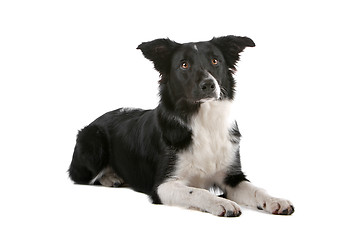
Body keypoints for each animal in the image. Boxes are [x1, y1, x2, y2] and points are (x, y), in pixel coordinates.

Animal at [68, 36, 296, 218]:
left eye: (215, 61)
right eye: (184, 65)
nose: (209, 85)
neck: (203, 122)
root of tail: (96, 119)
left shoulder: (232, 176)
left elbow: (257, 189)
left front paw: (276, 200)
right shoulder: (163, 185)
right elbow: (197, 191)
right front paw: (221, 202)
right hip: (93, 142)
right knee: (81, 176)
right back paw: (111, 177)